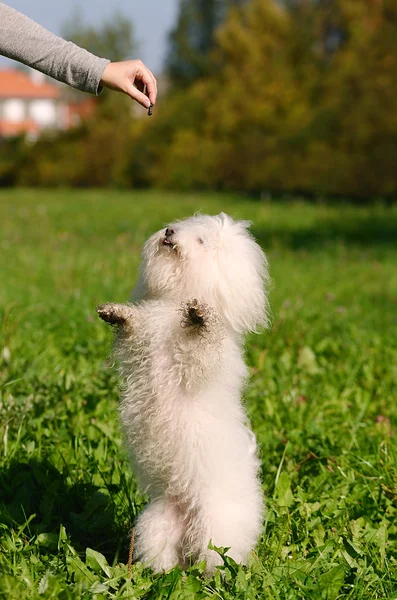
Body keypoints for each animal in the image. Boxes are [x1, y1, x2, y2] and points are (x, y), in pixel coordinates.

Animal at [97, 213, 270, 576]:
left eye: (202, 241)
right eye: (178, 226)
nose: (168, 232)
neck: (175, 303)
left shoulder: (198, 364)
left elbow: (198, 346)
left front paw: (200, 317)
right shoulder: (141, 347)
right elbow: (133, 331)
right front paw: (118, 313)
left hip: (216, 530)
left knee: (218, 560)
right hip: (157, 524)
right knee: (165, 557)